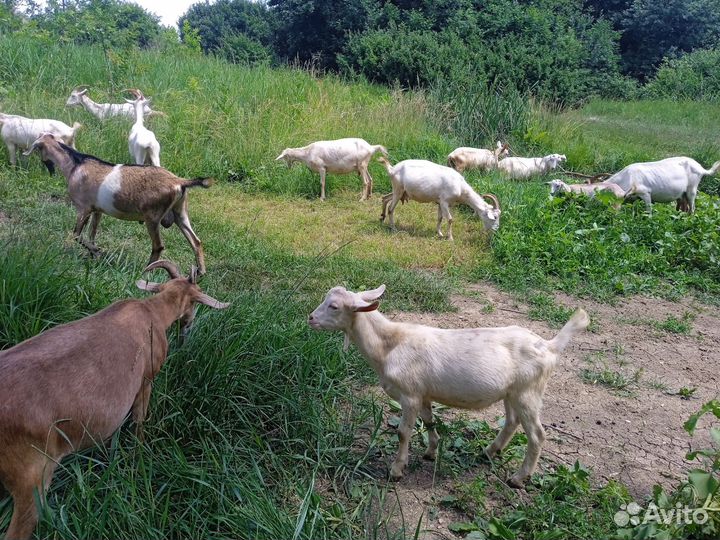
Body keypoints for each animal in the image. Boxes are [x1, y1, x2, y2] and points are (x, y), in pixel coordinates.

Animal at [0, 260, 228, 540]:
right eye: (197, 300)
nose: (187, 329)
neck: (151, 312)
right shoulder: (146, 379)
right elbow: (139, 419)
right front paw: (139, 455)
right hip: (32, 480)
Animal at [24, 133, 211, 274]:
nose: (48, 168)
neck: (75, 164)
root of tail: (179, 181)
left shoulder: (83, 208)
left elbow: (76, 234)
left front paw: (96, 251)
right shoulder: (97, 210)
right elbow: (92, 233)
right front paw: (93, 255)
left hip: (152, 217)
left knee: (158, 246)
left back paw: (145, 270)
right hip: (180, 213)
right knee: (196, 241)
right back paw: (200, 272)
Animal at [309, 285, 589, 486]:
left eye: (334, 306)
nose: (310, 318)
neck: (389, 345)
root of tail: (550, 346)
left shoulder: (409, 394)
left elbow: (403, 432)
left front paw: (396, 470)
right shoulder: (422, 394)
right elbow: (430, 421)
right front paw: (431, 451)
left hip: (528, 392)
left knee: (537, 435)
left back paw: (519, 479)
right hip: (512, 392)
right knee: (511, 421)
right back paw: (489, 451)